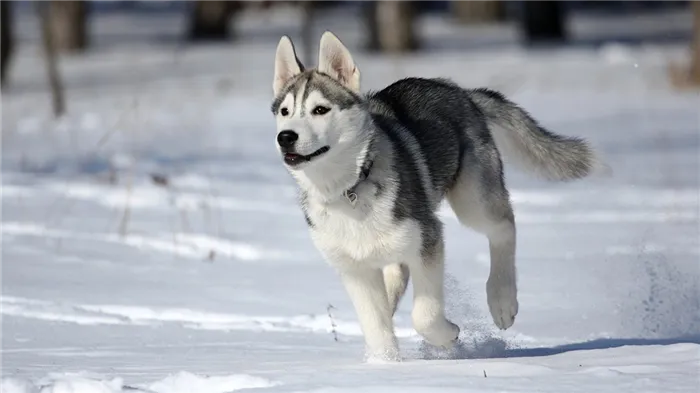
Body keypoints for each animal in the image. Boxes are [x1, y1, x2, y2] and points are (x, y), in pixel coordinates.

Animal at [270, 32, 604, 360]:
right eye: (285, 112)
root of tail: (458, 90)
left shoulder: (428, 240)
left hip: (472, 199)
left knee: (504, 226)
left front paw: (448, 336)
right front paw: (383, 363)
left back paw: (502, 300)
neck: (349, 187)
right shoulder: (354, 268)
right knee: (396, 278)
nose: (285, 137)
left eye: (320, 110)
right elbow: (376, 325)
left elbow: (424, 316)